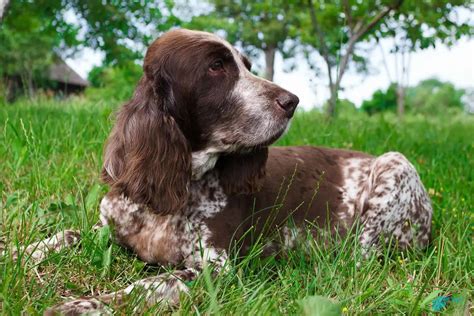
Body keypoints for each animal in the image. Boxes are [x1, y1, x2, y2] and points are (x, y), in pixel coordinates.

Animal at [14, 29, 432, 314]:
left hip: (394, 164)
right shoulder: (107, 229)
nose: (292, 101)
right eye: (216, 67)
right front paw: (16, 252)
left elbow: (146, 286)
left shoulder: (215, 268)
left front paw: (83, 305)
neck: (178, 186)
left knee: (362, 260)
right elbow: (63, 235)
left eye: (247, 66)